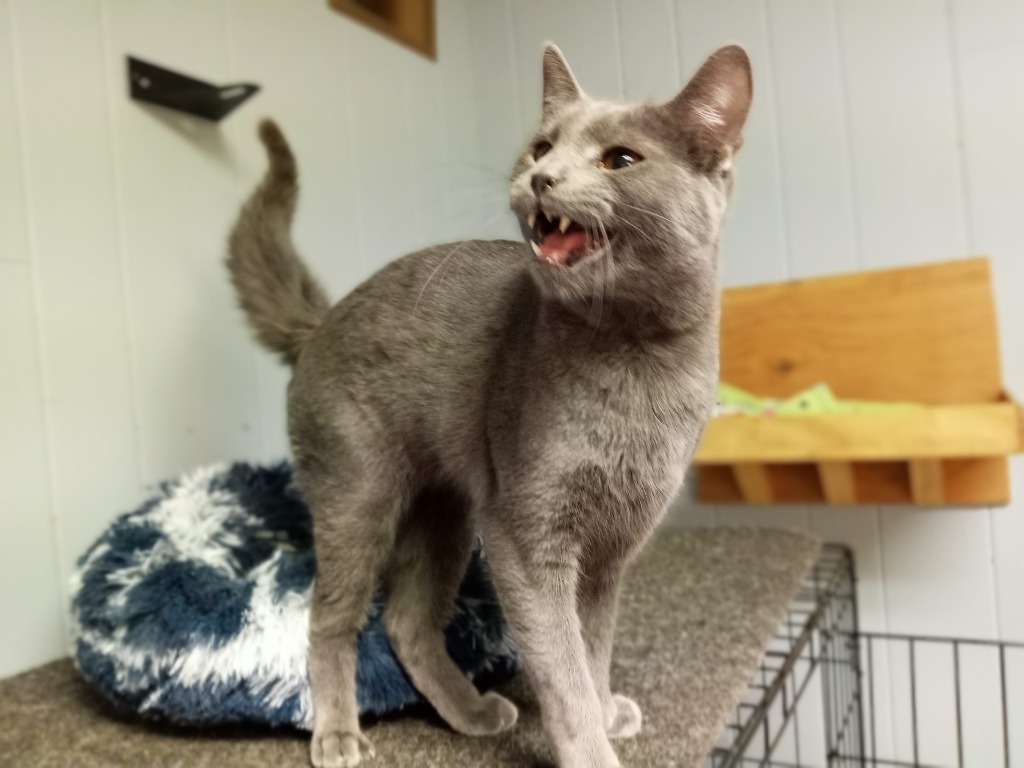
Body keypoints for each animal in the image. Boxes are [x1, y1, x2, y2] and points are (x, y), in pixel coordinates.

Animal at [228, 40, 749, 768]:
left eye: (620, 159)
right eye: (541, 147)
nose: (543, 178)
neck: (636, 362)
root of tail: (322, 319)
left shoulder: (613, 549)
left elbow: (594, 647)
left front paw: (606, 707)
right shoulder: (526, 535)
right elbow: (563, 667)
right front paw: (592, 744)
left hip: (445, 510)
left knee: (407, 623)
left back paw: (472, 710)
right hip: (358, 492)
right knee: (331, 616)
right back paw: (338, 733)